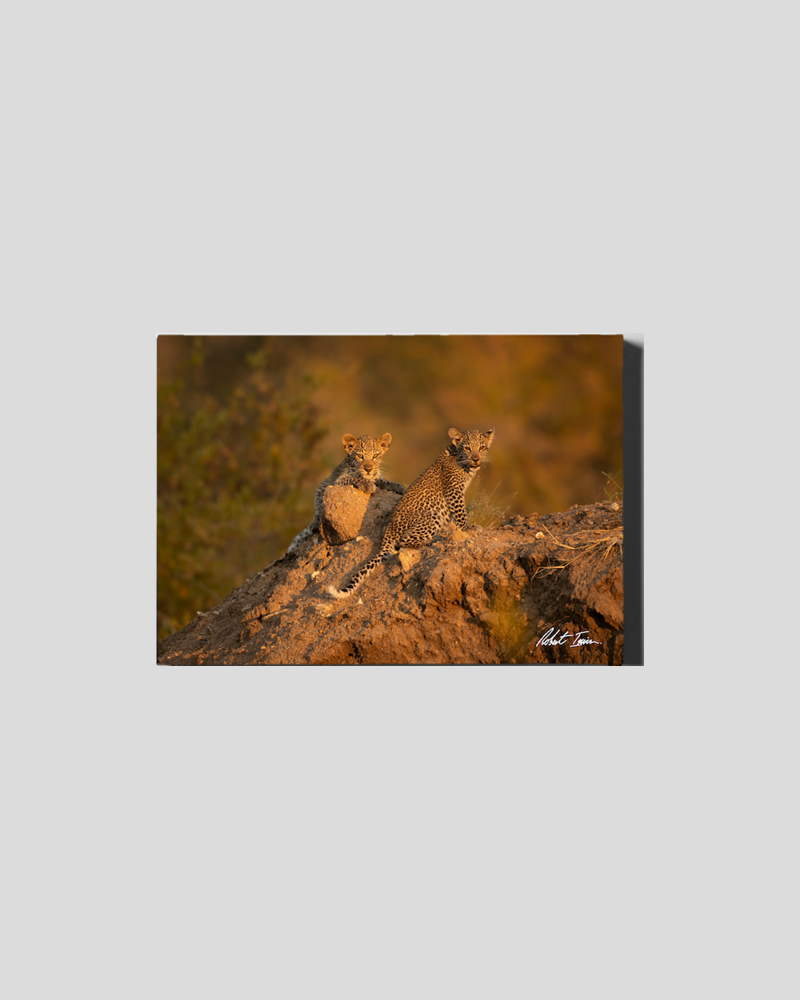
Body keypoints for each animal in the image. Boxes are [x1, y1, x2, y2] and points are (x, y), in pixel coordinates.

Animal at [326, 426, 494, 598]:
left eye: (482, 448)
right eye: (467, 448)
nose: (476, 459)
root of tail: (388, 534)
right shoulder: (453, 491)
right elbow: (460, 513)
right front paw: (468, 529)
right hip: (431, 516)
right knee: (404, 543)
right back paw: (435, 539)